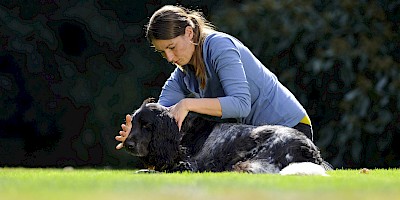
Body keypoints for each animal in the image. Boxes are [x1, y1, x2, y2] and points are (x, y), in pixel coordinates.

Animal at [123, 98, 330, 175]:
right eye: (134, 124)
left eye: (146, 125)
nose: (127, 144)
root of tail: (310, 150)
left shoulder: (190, 166)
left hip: (247, 163)